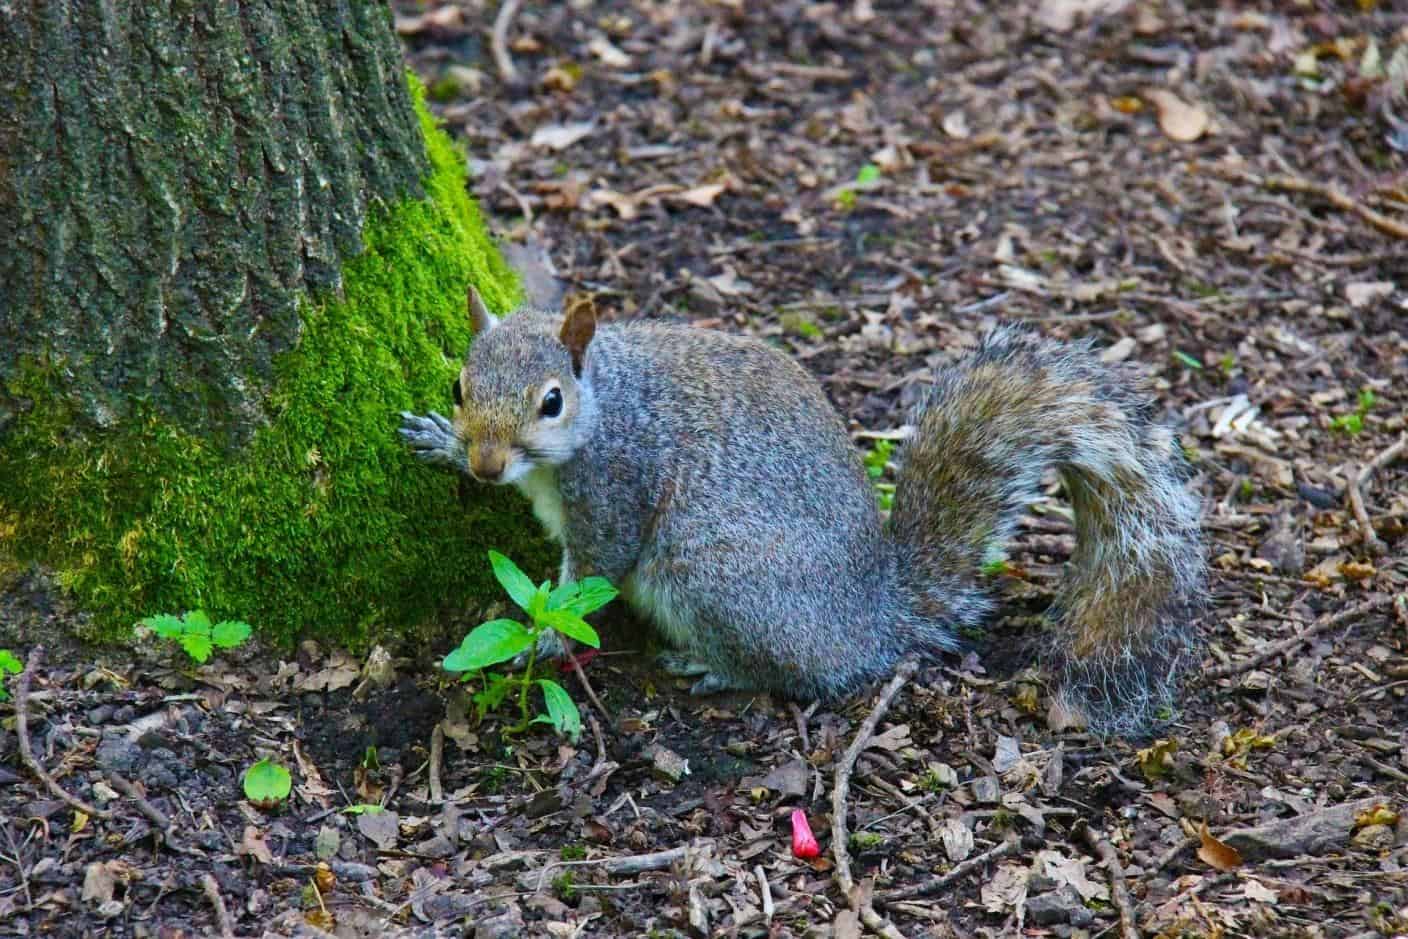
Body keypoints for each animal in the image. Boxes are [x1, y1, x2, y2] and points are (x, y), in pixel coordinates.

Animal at [402, 290, 1205, 737]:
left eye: (551, 401)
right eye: (459, 385)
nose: (486, 465)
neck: (606, 401)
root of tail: (872, 614)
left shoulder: (618, 486)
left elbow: (590, 581)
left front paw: (538, 642)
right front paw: (438, 441)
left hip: (716, 577)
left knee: (794, 672)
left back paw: (713, 667)